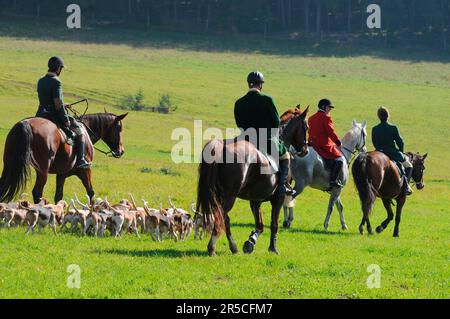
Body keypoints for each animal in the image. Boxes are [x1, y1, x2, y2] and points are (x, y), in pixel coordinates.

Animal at [197, 107, 310, 258]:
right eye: (306, 127)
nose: (305, 150)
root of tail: (221, 146)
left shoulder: (255, 200)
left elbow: (260, 225)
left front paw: (250, 242)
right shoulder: (278, 198)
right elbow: (274, 224)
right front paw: (273, 248)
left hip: (219, 195)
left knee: (225, 218)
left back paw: (233, 247)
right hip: (229, 196)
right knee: (221, 217)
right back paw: (212, 247)